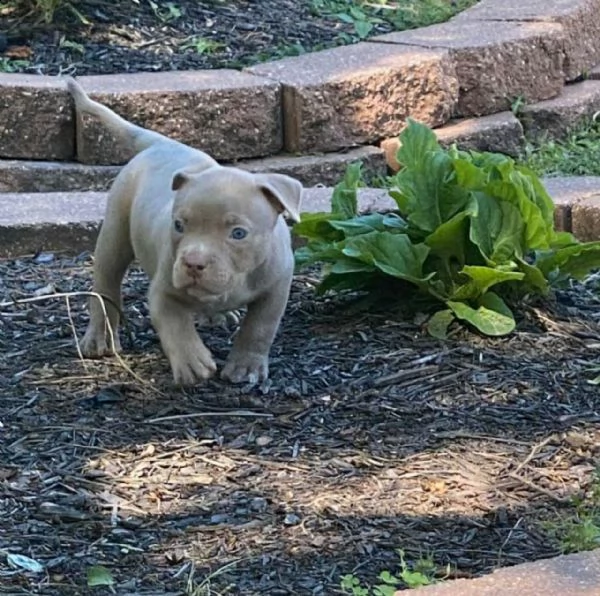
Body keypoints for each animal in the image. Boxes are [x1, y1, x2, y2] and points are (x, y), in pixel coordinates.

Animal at [67, 78, 302, 386]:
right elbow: (175, 324)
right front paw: (192, 362)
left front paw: (246, 367)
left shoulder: (276, 287)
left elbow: (260, 328)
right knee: (106, 284)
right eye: (178, 225)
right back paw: (99, 339)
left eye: (238, 233)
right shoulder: (164, 289)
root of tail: (163, 143)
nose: (193, 263)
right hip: (115, 233)